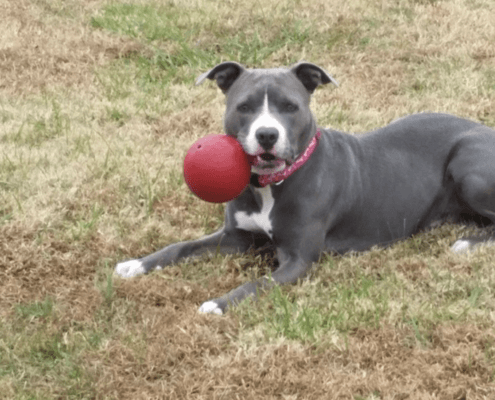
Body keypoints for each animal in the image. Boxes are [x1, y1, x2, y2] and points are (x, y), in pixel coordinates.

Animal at [114, 61, 495, 314]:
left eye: (290, 107)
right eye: (244, 107)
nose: (267, 134)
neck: (270, 185)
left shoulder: (297, 259)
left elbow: (257, 284)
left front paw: (217, 304)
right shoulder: (236, 237)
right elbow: (179, 247)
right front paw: (136, 265)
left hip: (467, 169)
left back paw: (465, 244)